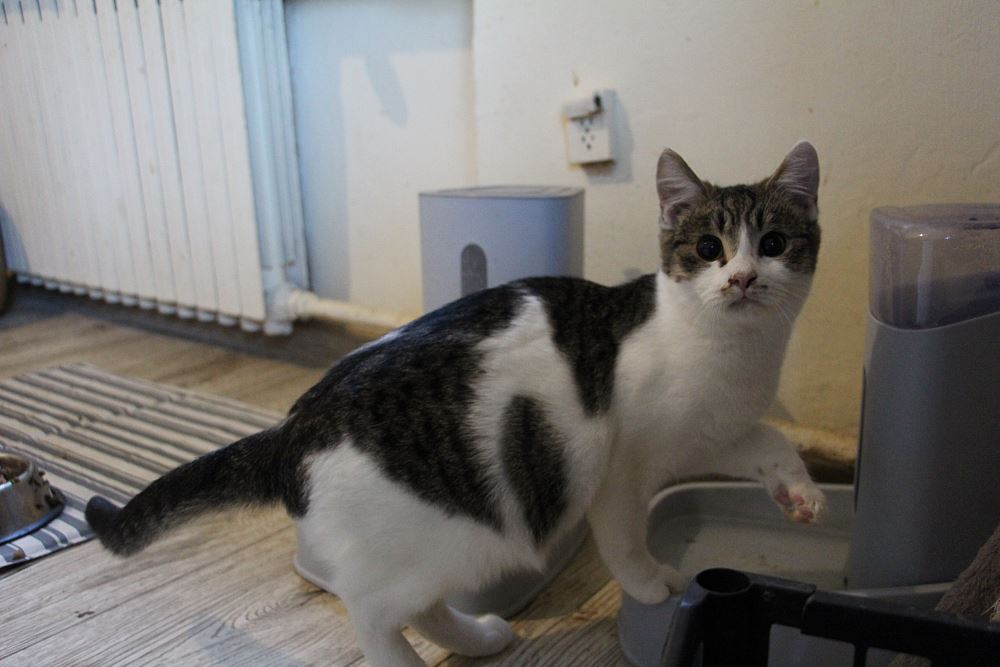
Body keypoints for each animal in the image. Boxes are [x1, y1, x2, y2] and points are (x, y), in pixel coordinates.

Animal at [86, 141, 826, 667]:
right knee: (373, 612)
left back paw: (475, 638)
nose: (742, 278)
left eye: (773, 244)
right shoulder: (621, 468)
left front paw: (801, 495)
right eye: (708, 247)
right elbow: (623, 538)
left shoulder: (717, 430)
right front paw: (650, 583)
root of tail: (296, 424)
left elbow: (769, 441)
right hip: (448, 535)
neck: (727, 350)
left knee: (419, 607)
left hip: (446, 545)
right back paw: (412, 661)